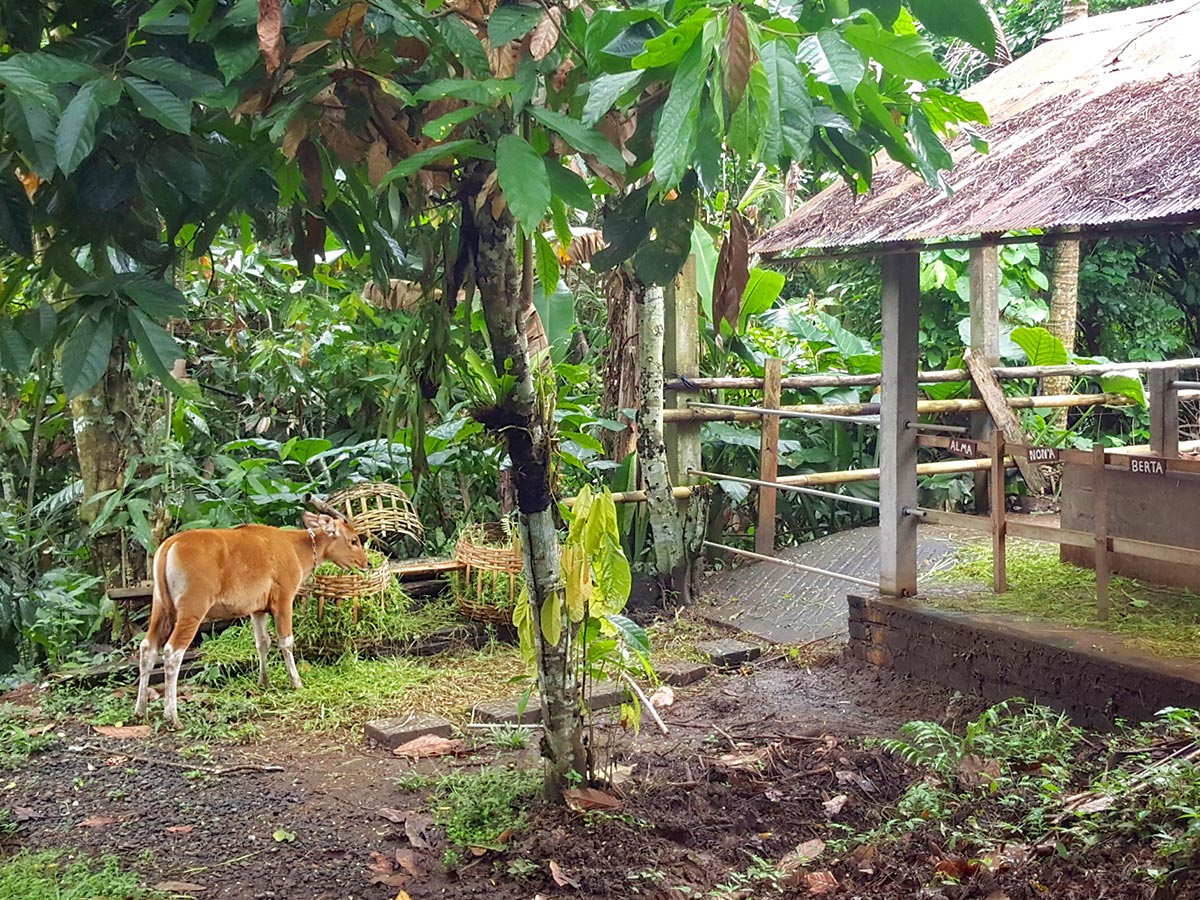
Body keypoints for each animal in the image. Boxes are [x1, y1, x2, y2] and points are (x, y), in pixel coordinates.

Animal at [134, 501, 367, 734]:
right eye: (353, 540)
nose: (367, 563)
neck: (295, 548)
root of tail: (169, 545)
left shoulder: (258, 609)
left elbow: (262, 643)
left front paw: (264, 682)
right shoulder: (283, 600)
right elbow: (286, 642)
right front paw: (296, 682)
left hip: (160, 607)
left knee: (148, 648)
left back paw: (140, 710)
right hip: (192, 609)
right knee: (172, 653)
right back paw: (172, 717)